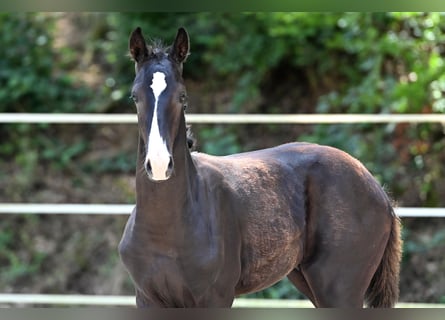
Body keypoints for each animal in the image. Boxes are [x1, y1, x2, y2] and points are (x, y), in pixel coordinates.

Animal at [118, 26, 402, 308]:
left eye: (183, 97)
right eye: (134, 97)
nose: (158, 164)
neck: (166, 230)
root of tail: (379, 190)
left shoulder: (215, 297)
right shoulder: (147, 298)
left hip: (340, 290)